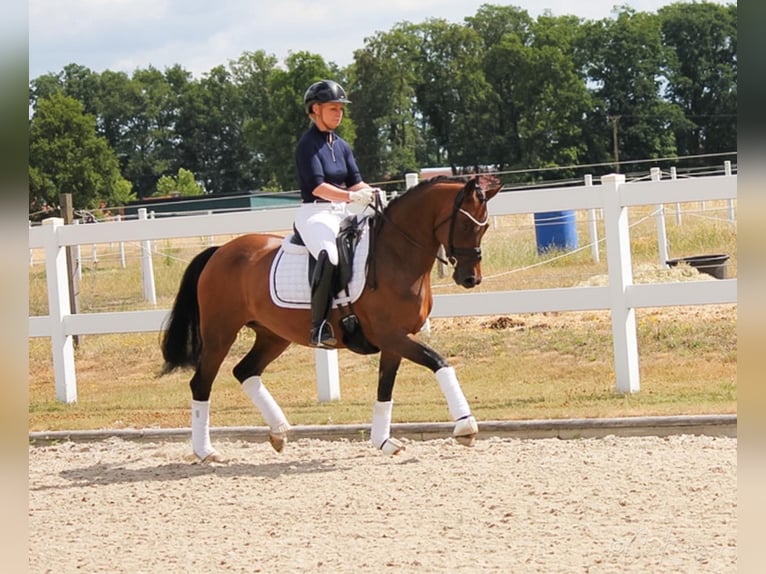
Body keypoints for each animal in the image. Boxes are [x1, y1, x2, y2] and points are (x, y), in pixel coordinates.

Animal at [162, 176, 504, 464]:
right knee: (202, 382)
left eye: (484, 227)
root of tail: (221, 251)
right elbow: (440, 363)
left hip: (273, 335)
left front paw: (383, 442)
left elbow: (385, 388)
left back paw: (279, 432)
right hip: (220, 333)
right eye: (465, 225)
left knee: (245, 371)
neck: (396, 256)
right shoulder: (393, 336)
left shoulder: (396, 340)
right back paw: (206, 452)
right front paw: (466, 427)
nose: (470, 279)